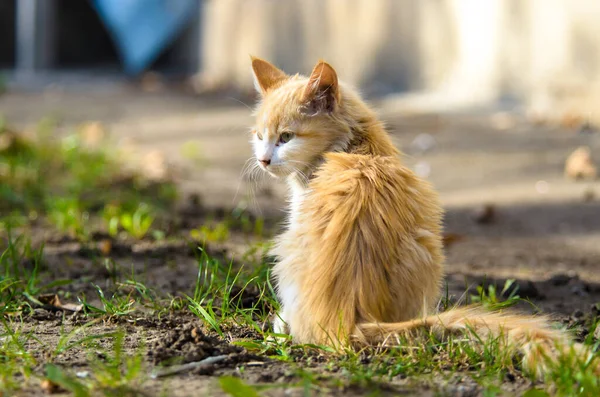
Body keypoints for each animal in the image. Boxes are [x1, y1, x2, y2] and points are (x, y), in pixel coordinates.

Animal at [247, 57, 596, 376]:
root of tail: (352, 319)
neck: (358, 149)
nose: (263, 160)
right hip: (427, 243)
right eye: (259, 136)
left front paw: (280, 323)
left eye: (286, 137)